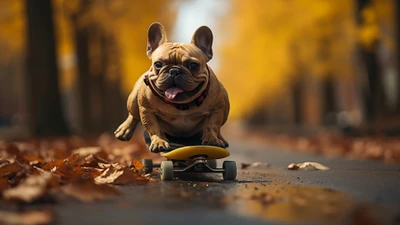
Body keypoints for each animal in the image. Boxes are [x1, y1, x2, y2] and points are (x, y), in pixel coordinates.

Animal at [114, 22, 230, 153]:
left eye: (193, 65)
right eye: (158, 64)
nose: (174, 71)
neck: (182, 105)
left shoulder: (217, 110)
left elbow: (212, 125)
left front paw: (211, 138)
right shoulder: (146, 110)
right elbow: (153, 128)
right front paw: (159, 141)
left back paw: (221, 138)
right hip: (133, 99)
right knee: (133, 115)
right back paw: (124, 130)